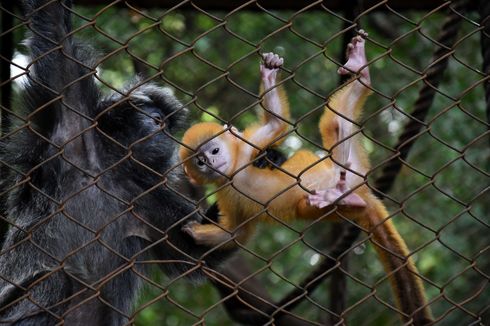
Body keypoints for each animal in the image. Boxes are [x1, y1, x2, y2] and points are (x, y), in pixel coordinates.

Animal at [0, 1, 233, 324]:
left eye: (164, 125)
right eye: (156, 120)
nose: (164, 132)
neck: (109, 171)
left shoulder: (145, 198)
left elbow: (196, 249)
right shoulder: (69, 128)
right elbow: (54, 27)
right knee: (56, 279)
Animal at [180, 32, 432, 324]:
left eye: (214, 150)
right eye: (199, 161)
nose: (211, 162)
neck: (233, 172)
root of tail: (362, 190)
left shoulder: (245, 148)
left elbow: (276, 125)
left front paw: (269, 75)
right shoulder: (225, 190)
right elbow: (236, 233)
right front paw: (195, 232)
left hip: (347, 164)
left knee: (334, 125)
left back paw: (360, 70)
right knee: (318, 176)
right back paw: (343, 197)